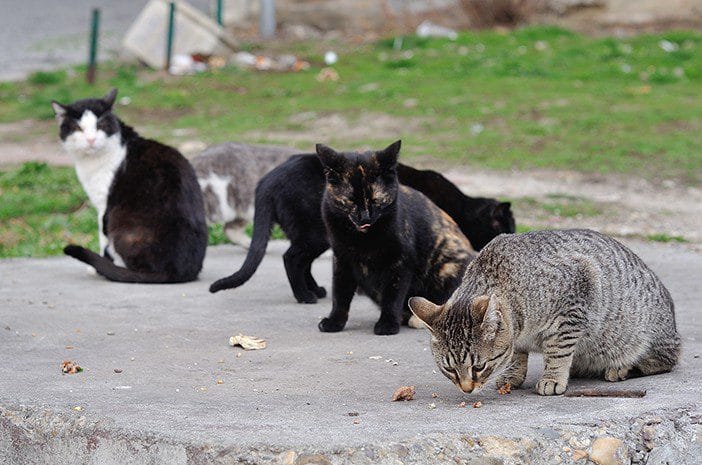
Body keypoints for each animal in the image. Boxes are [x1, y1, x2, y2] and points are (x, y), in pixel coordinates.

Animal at [51, 88, 208, 280]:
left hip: (122, 226)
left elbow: (102, 237)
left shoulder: (104, 206)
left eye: (99, 126)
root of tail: (175, 271)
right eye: (78, 128)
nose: (91, 139)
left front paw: (98, 268)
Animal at [412, 228, 680, 396]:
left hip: (646, 339)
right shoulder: (517, 336)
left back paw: (621, 369)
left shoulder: (575, 300)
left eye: (479, 367)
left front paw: (552, 377)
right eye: (449, 369)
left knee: (662, 362)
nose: (467, 389)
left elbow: (558, 351)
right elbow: (516, 354)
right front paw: (512, 374)